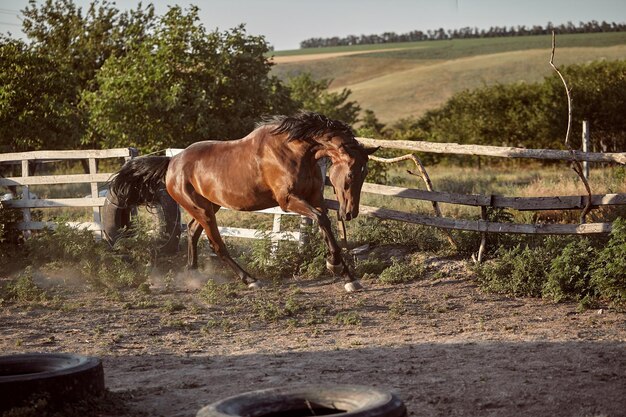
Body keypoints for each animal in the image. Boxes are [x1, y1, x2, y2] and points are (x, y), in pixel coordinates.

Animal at [107, 112, 376, 290]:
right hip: (202, 210)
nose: (350, 212)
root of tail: (172, 162)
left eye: (365, 174)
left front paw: (347, 276)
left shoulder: (314, 198)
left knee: (192, 232)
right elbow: (322, 220)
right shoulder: (289, 201)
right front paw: (337, 267)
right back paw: (250, 280)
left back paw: (192, 274)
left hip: (208, 206)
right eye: (351, 174)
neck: (294, 151)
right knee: (216, 245)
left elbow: (325, 225)